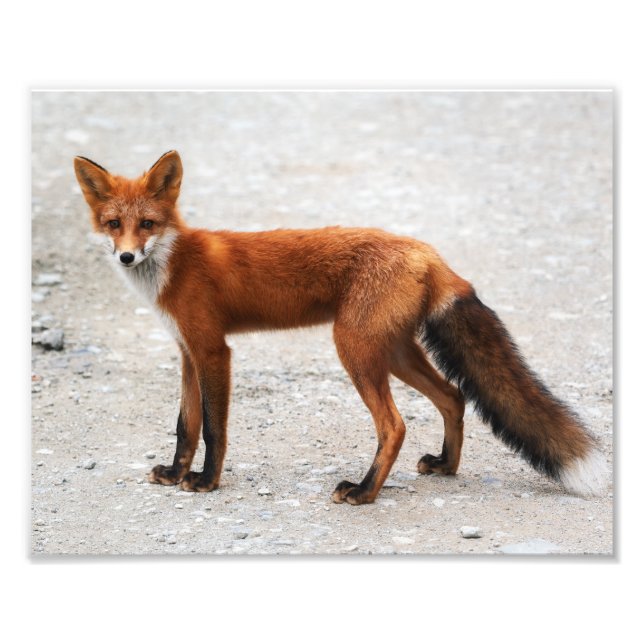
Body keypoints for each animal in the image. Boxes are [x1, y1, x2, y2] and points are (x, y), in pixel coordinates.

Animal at [73, 150, 606, 505]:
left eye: (147, 224)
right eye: (114, 223)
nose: (126, 256)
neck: (175, 264)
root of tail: (426, 251)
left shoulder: (213, 351)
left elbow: (213, 429)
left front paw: (206, 482)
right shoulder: (187, 351)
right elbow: (185, 426)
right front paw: (175, 472)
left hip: (354, 348)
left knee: (395, 424)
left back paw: (365, 490)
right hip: (393, 351)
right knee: (454, 396)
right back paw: (445, 467)